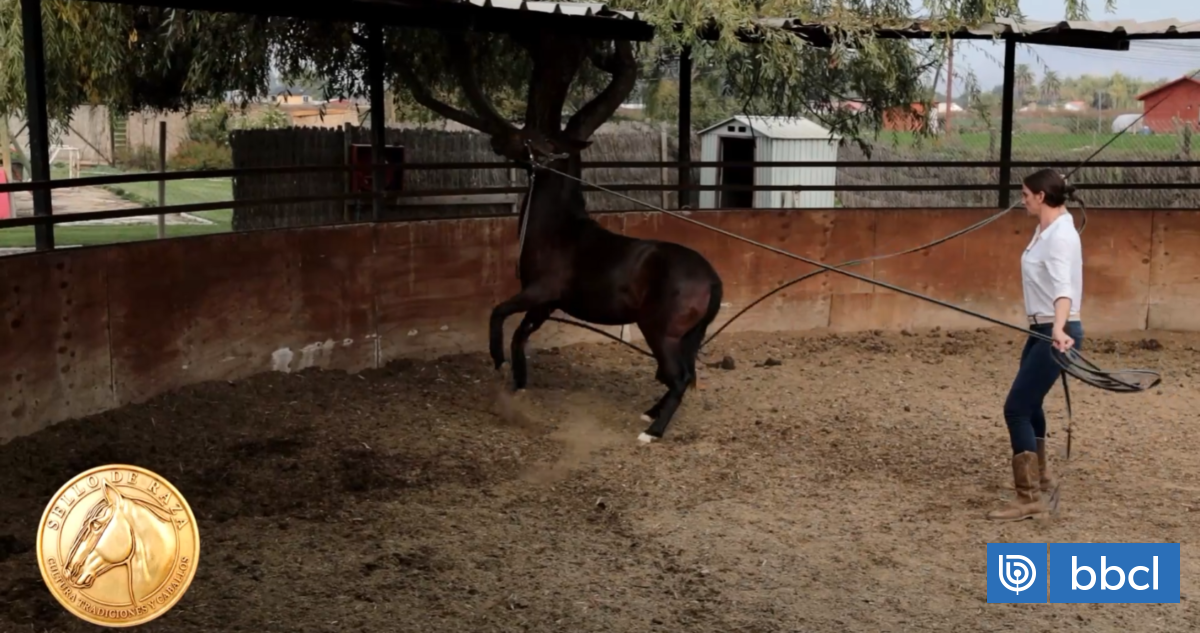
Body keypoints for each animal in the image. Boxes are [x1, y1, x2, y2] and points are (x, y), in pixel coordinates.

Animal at [488, 132, 724, 443]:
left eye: (538, 139)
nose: (496, 139)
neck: (558, 233)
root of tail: (710, 277)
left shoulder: (538, 293)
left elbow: (498, 313)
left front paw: (498, 360)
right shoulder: (544, 305)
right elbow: (519, 335)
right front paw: (518, 384)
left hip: (661, 334)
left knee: (678, 377)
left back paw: (652, 432)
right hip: (686, 336)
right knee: (676, 375)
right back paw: (650, 414)